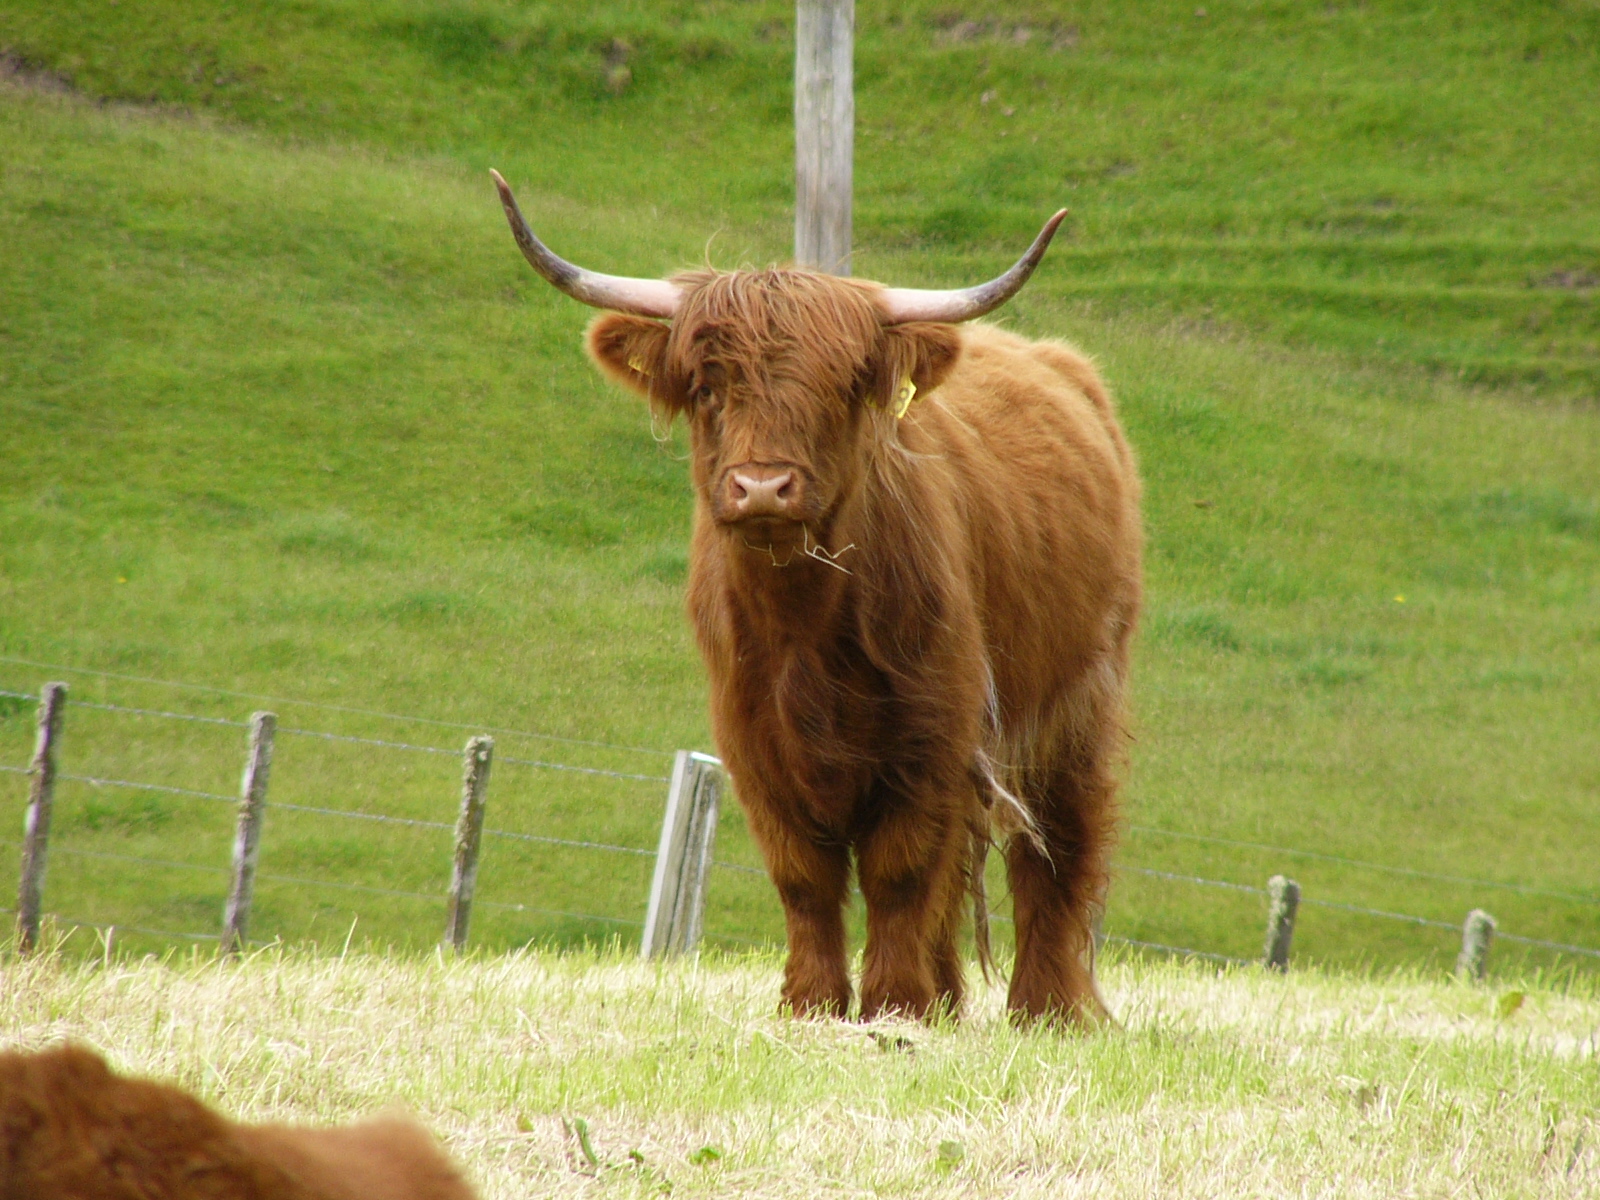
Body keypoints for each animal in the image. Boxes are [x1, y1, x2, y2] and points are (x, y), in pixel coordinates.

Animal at [491, 173, 1142, 1026]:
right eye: (707, 386)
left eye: (840, 389)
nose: (763, 486)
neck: (803, 623)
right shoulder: (751, 738)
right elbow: (805, 876)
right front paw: (816, 1004)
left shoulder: (932, 734)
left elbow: (901, 871)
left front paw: (892, 1007)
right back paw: (947, 999)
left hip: (1077, 700)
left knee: (1057, 850)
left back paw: (1047, 1009)